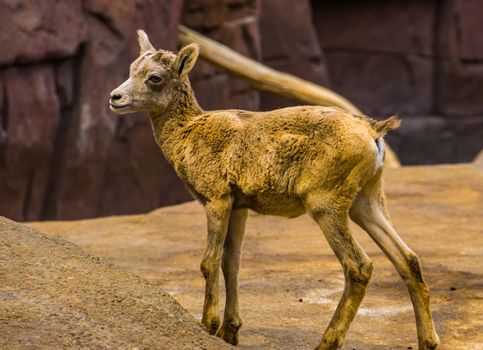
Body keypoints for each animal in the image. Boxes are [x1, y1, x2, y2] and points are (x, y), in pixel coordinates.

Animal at [108, 30, 438, 350]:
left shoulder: (216, 199)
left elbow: (209, 261)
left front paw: (209, 326)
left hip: (326, 205)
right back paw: (427, 341)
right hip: (366, 201)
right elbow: (231, 262)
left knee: (359, 266)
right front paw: (230, 332)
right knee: (407, 259)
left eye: (155, 77)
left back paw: (325, 343)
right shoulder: (239, 207)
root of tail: (374, 133)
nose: (115, 97)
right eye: (132, 69)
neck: (188, 133)